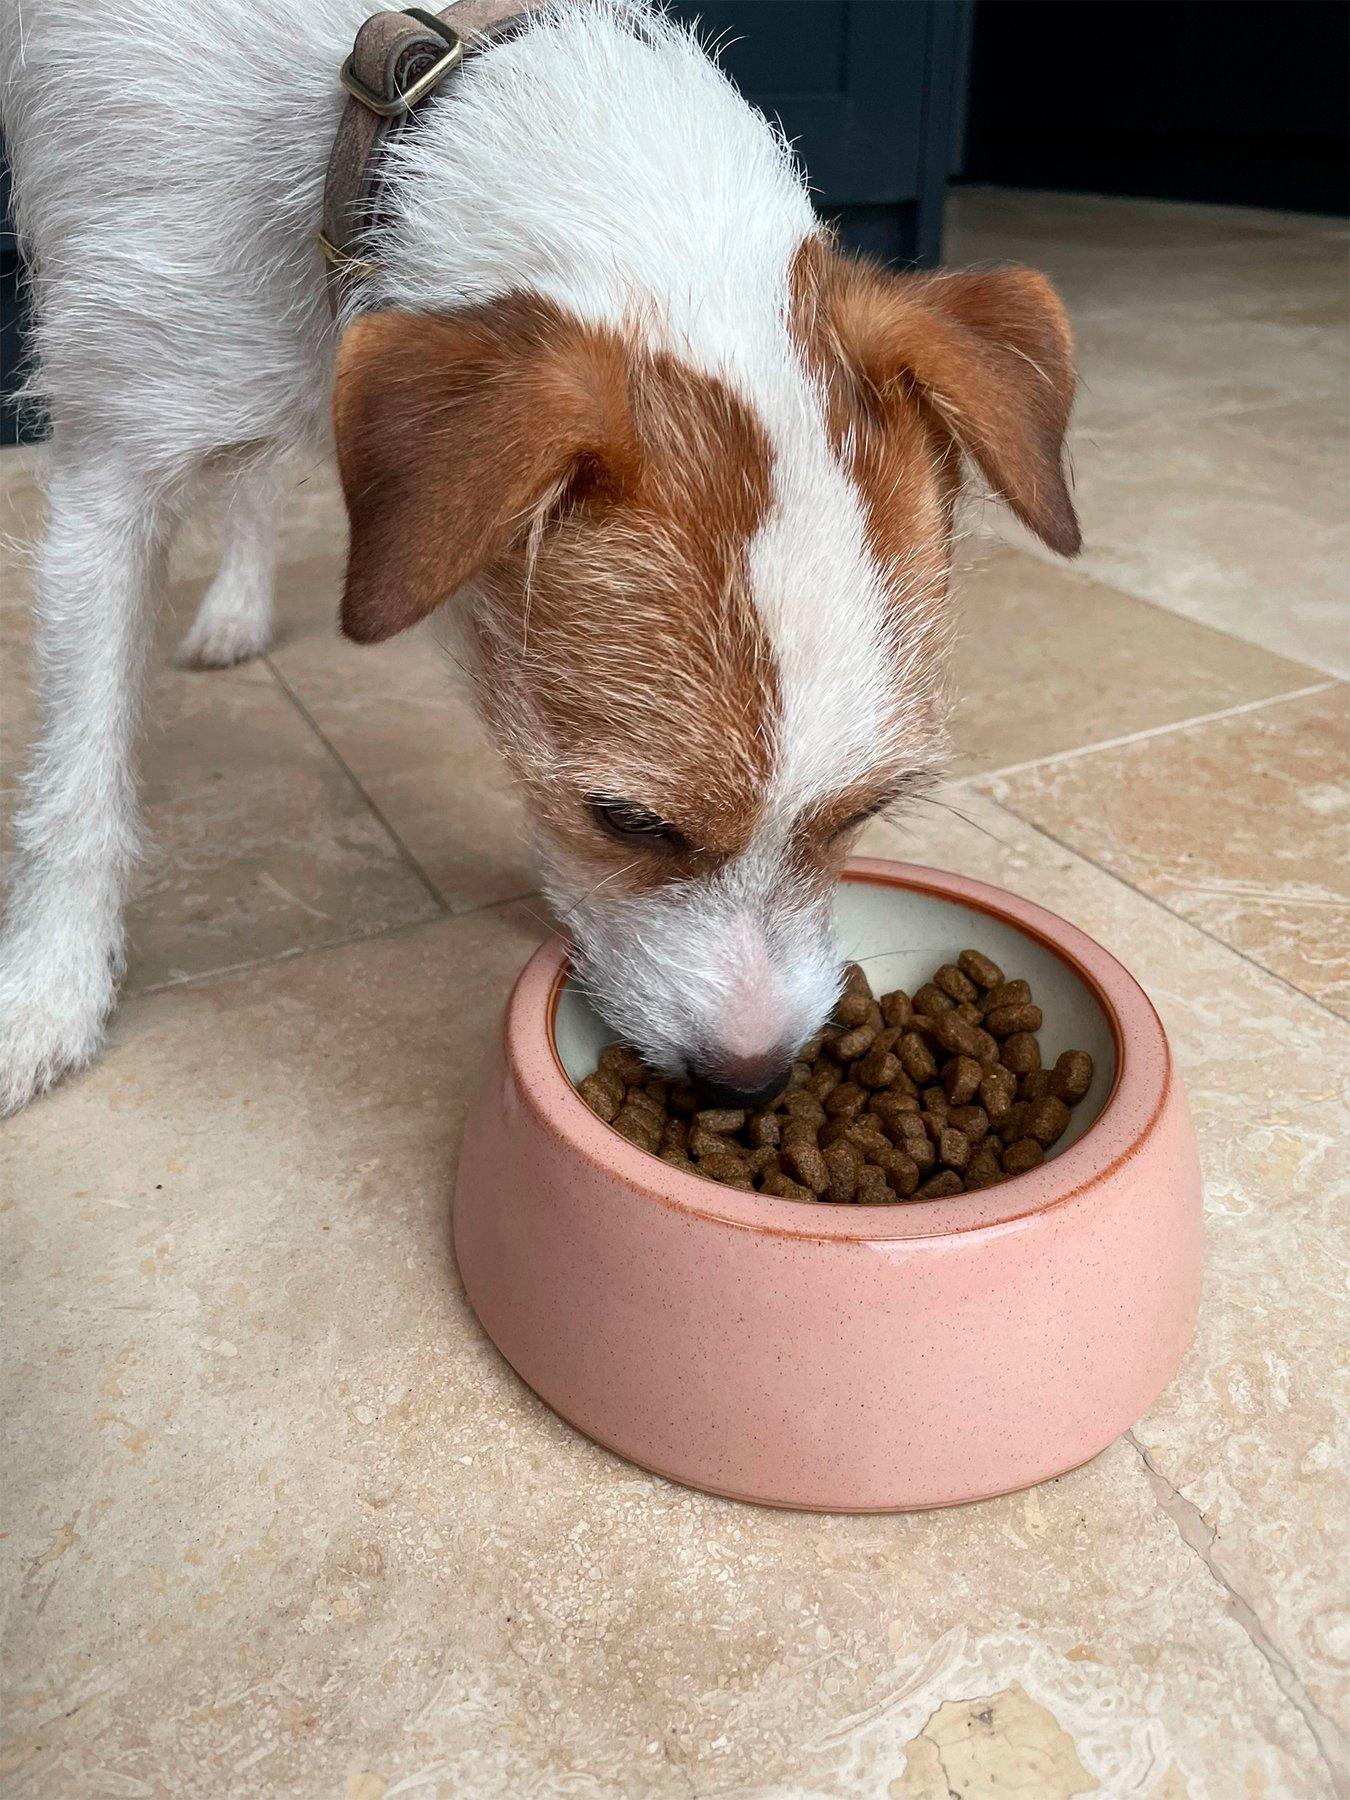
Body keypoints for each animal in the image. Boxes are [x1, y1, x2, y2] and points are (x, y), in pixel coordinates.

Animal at [0, 0, 1080, 1108]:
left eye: (868, 810)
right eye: (626, 820)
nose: (751, 1080)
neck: (402, 103)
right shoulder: (105, 476)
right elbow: (78, 780)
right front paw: (47, 994)